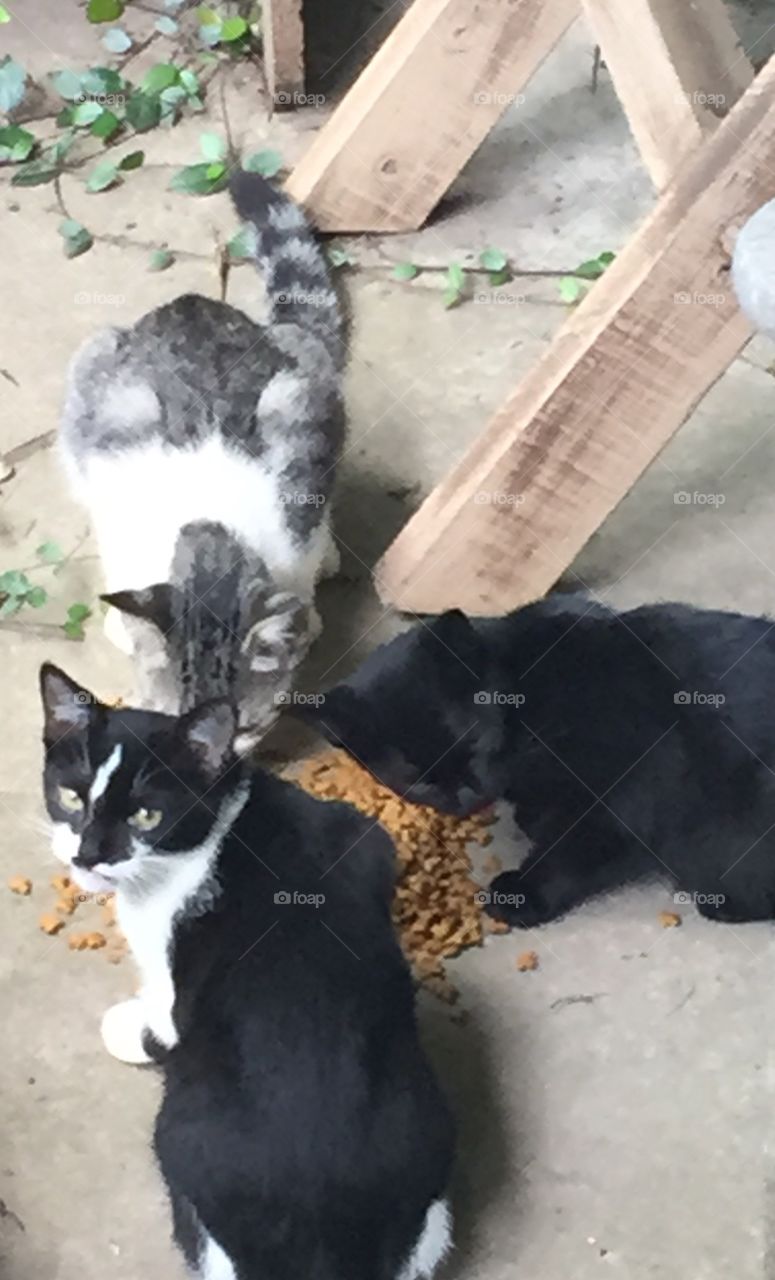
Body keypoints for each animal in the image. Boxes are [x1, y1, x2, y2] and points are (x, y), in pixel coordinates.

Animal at [39, 665, 453, 1274]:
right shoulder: (361, 836)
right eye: (70, 796)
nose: (87, 856)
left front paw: (127, 1027)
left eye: (147, 815)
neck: (216, 824)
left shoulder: (176, 974)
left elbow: (165, 1022)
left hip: (180, 1140)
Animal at [61, 171, 345, 747]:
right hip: (90, 372)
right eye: (171, 720)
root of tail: (194, 302)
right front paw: (125, 627)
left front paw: (302, 620)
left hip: (308, 376)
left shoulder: (302, 480)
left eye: (246, 728)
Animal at [294, 593, 775, 926]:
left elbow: (571, 849)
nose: (466, 794)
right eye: (418, 780)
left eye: (474, 742)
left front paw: (521, 892)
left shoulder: (629, 783)